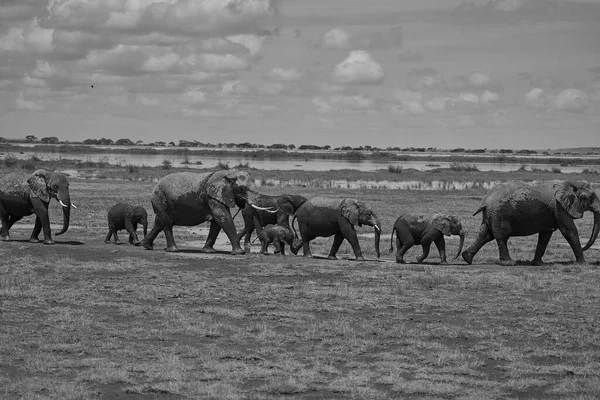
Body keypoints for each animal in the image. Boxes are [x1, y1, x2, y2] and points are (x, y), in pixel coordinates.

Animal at [462, 180, 596, 264]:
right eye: (591, 198)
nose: (584, 248)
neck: (570, 183)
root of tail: (485, 200)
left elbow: (545, 235)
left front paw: (537, 263)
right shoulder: (559, 208)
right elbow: (569, 231)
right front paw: (582, 264)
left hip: (490, 214)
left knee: (485, 235)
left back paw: (467, 258)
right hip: (499, 214)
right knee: (502, 237)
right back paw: (509, 263)